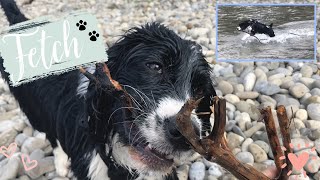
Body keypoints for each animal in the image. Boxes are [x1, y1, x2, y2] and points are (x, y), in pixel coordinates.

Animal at [0, 0, 216, 179]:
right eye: (155, 66)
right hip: (34, 110)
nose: (187, 134)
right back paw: (60, 164)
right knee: (51, 135)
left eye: (200, 91)